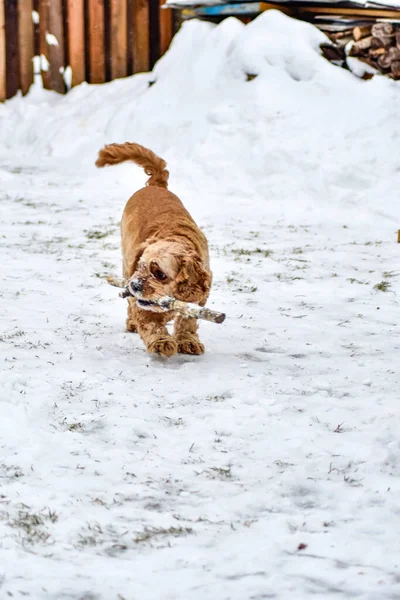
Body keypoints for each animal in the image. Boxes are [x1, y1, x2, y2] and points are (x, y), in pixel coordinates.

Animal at [96, 142, 212, 356]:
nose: (135, 285)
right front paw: (161, 342)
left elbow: (188, 319)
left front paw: (188, 341)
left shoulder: (200, 295)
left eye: (159, 274)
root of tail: (156, 185)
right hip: (125, 262)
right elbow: (148, 320)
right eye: (140, 266)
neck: (174, 236)